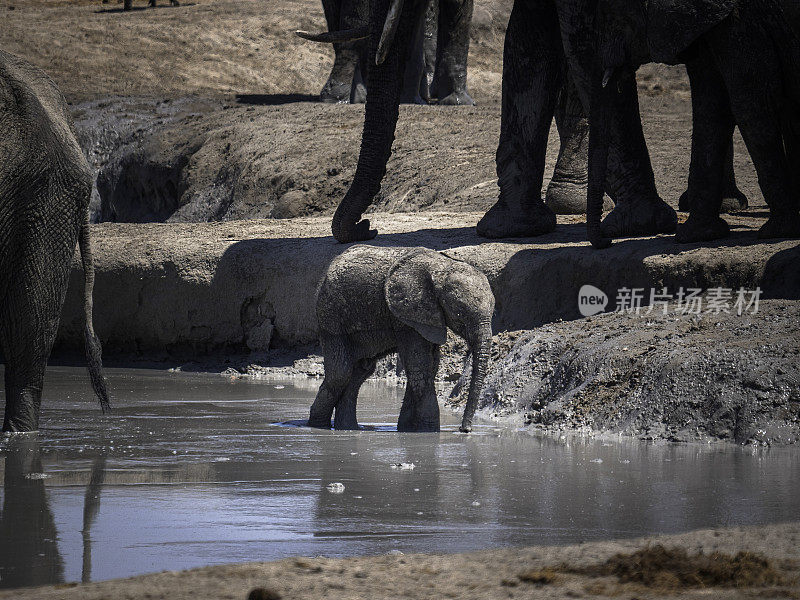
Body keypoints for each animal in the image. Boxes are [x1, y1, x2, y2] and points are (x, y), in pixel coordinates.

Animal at [308, 246, 490, 434]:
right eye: (460, 313)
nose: (464, 429)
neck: (442, 268)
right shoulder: (408, 315)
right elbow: (419, 367)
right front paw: (429, 432)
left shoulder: (426, 318)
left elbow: (428, 367)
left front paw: (407, 429)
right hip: (331, 317)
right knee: (340, 373)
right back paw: (318, 426)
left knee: (360, 371)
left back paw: (348, 428)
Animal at [588, 0, 800, 246]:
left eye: (612, 18)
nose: (607, 241)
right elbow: (712, 107)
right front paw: (699, 235)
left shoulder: (741, 27)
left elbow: (751, 105)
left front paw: (779, 231)